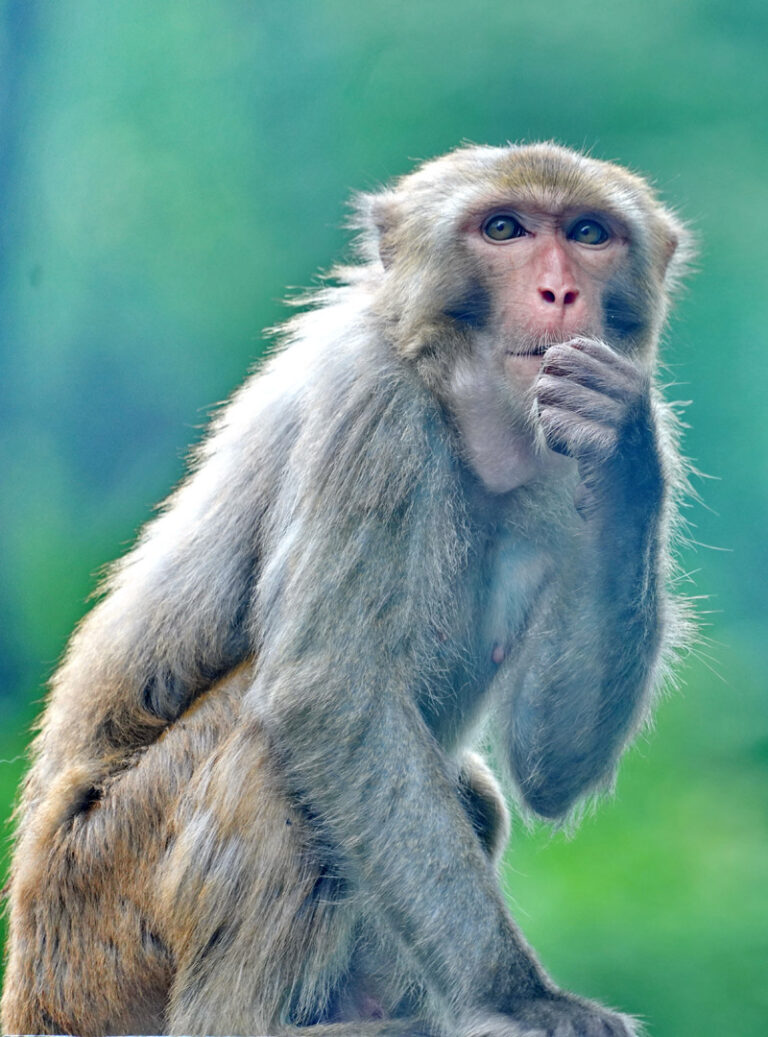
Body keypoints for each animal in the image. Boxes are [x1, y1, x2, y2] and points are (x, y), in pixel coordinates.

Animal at [2, 142, 692, 1037]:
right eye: (503, 229)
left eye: (588, 234)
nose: (559, 291)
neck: (457, 398)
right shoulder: (372, 409)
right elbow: (328, 693)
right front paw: (519, 995)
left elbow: (549, 762)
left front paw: (624, 442)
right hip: (101, 925)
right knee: (267, 737)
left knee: (472, 791)